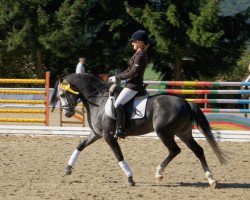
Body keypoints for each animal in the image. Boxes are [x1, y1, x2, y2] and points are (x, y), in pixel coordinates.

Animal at [50, 73, 227, 188]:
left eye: (62, 94)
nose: (67, 113)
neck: (98, 100)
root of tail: (185, 102)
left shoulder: (108, 136)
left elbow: (118, 155)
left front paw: (130, 178)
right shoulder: (97, 134)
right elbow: (80, 145)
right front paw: (67, 169)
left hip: (164, 132)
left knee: (175, 150)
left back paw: (159, 174)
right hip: (183, 133)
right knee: (198, 150)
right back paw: (211, 180)